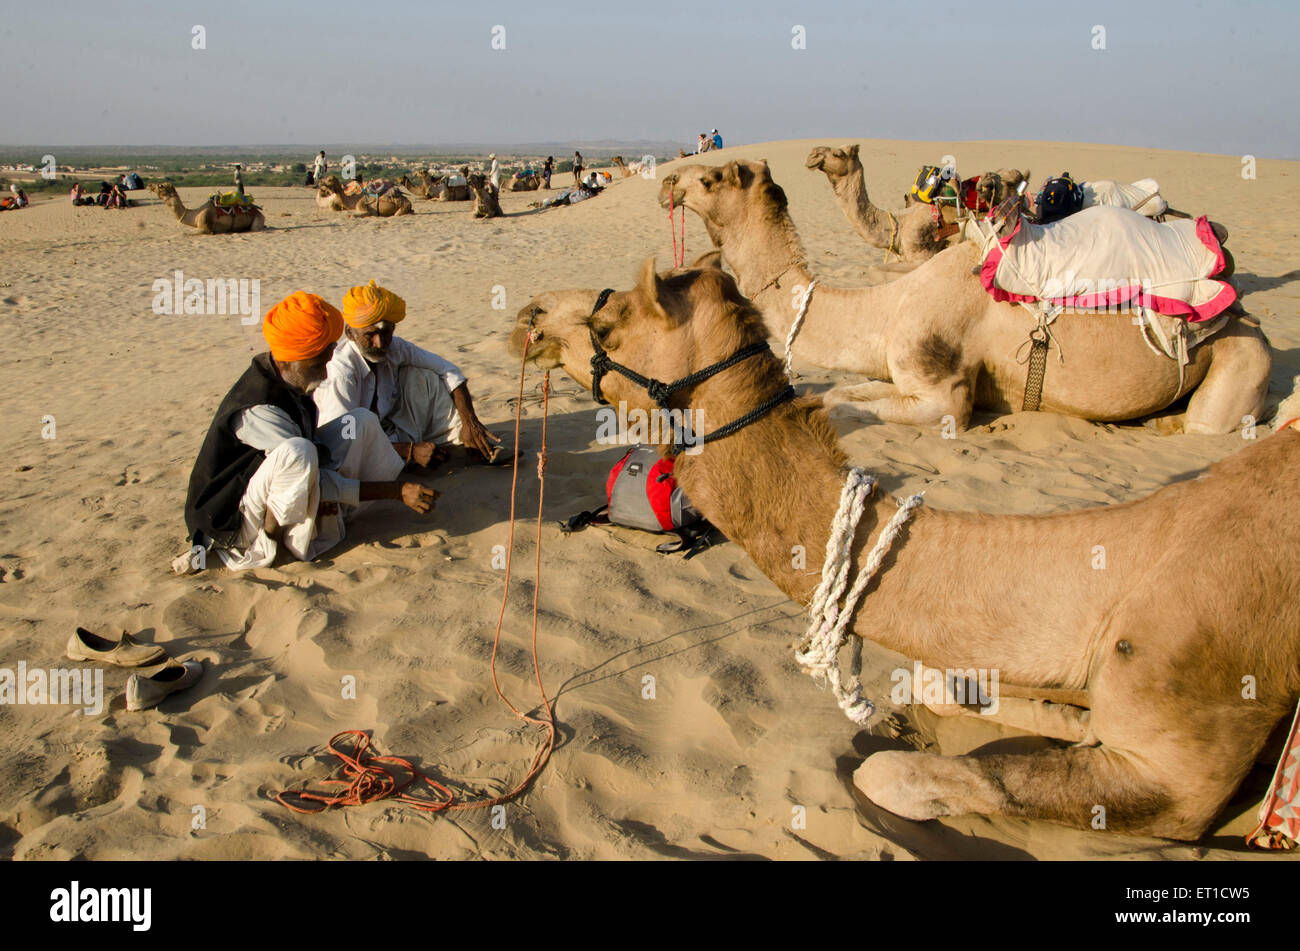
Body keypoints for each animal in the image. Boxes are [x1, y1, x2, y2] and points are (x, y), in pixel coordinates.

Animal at [506, 258, 1300, 841]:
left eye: (607, 322)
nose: (528, 315)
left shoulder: (1183, 770)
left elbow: (888, 773)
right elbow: (937, 683)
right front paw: (1066, 719)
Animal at [655, 159, 1263, 433]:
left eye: (709, 179)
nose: (665, 180)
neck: (887, 306)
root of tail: (1247, 317)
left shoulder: (942, 392)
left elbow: (838, 402)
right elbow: (844, 390)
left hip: (1240, 356)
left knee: (1208, 423)